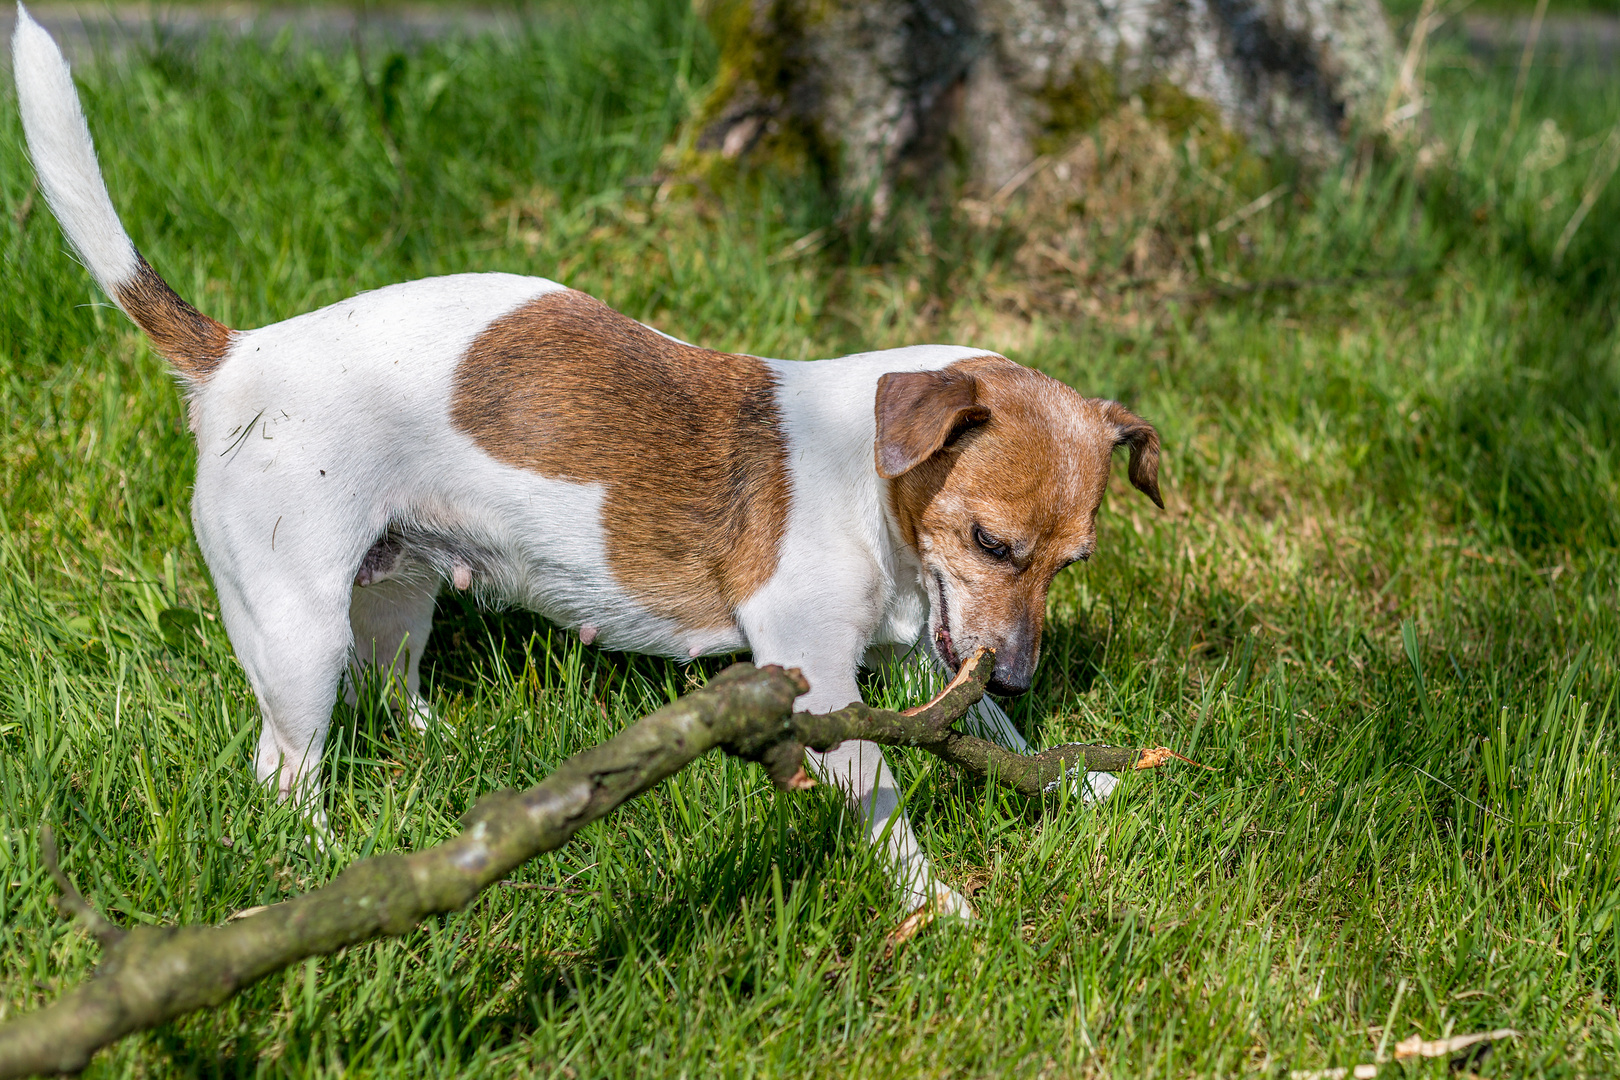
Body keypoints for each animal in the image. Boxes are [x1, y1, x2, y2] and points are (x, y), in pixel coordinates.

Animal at [19, 6, 1166, 919]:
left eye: (1071, 565)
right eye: (991, 542)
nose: (1020, 671)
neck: (868, 487)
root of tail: (237, 355)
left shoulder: (935, 654)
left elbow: (995, 734)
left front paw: (1078, 782)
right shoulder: (817, 677)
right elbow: (888, 805)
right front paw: (939, 907)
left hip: (395, 586)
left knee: (390, 684)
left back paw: (445, 751)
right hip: (295, 631)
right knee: (284, 769)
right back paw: (329, 864)